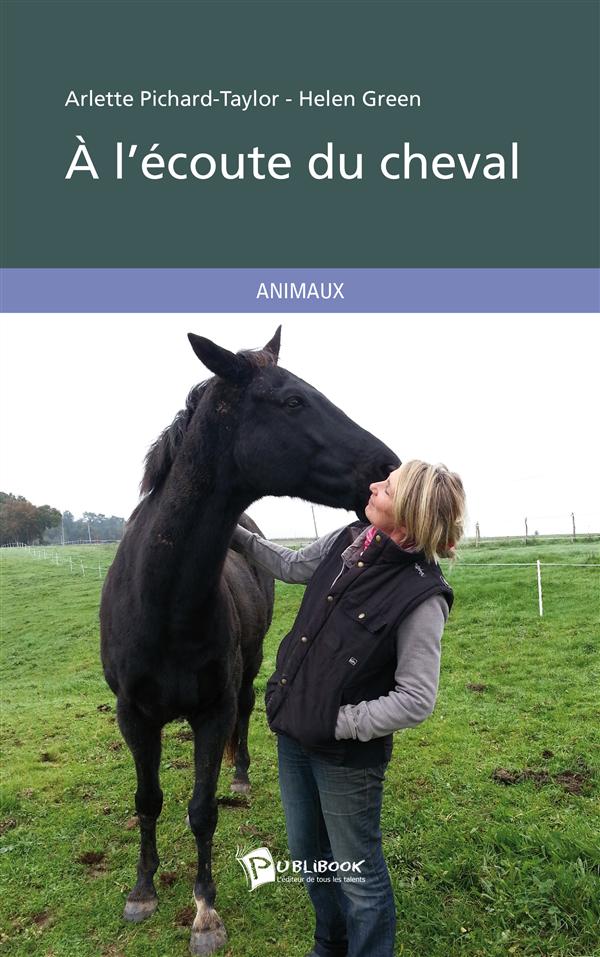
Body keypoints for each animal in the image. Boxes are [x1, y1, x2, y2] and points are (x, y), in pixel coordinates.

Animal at [99, 328, 398, 955]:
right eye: (292, 401)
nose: (388, 467)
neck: (161, 600)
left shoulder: (211, 711)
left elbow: (201, 808)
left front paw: (205, 913)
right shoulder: (132, 715)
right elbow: (147, 800)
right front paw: (142, 891)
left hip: (247, 670)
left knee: (243, 711)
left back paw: (239, 775)